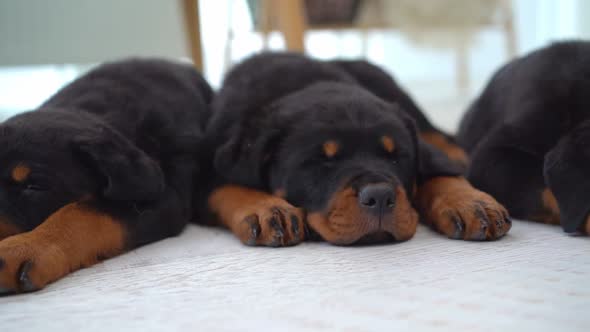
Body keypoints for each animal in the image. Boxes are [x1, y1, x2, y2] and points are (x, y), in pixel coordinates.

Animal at [206, 53, 512, 246]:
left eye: (396, 157)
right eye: (322, 161)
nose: (380, 197)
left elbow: (440, 173)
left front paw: (471, 203)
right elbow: (226, 187)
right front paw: (266, 209)